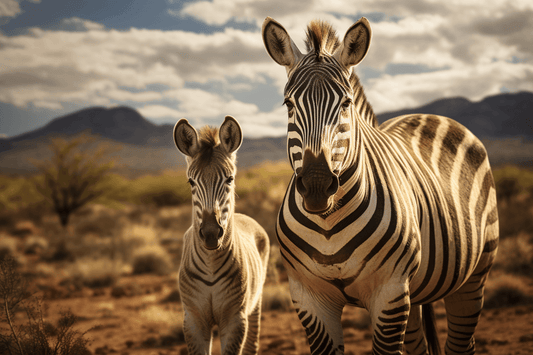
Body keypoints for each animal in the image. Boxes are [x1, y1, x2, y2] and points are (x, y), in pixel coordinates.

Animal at [174, 115, 268, 354]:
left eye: (229, 179)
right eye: (191, 182)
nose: (210, 234)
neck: (210, 264)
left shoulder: (235, 319)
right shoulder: (193, 320)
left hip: (256, 300)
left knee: (252, 342)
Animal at [262, 15, 498, 354]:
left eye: (346, 103)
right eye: (288, 105)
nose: (317, 184)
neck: (328, 224)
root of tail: (427, 114)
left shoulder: (389, 292)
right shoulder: (309, 298)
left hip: (473, 277)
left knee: (462, 343)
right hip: (415, 293)